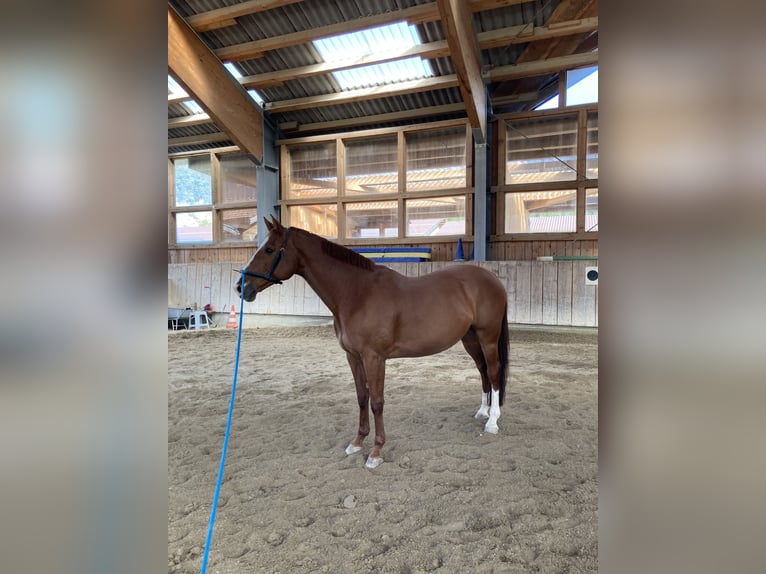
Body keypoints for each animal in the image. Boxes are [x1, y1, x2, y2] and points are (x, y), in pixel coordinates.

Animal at [234, 218, 510, 470]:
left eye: (269, 249)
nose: (241, 287)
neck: (357, 293)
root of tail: (491, 277)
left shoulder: (374, 357)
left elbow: (377, 402)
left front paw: (376, 452)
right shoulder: (353, 356)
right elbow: (361, 396)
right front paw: (357, 442)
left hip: (487, 336)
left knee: (494, 371)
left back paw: (492, 421)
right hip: (470, 338)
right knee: (482, 370)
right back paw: (483, 411)